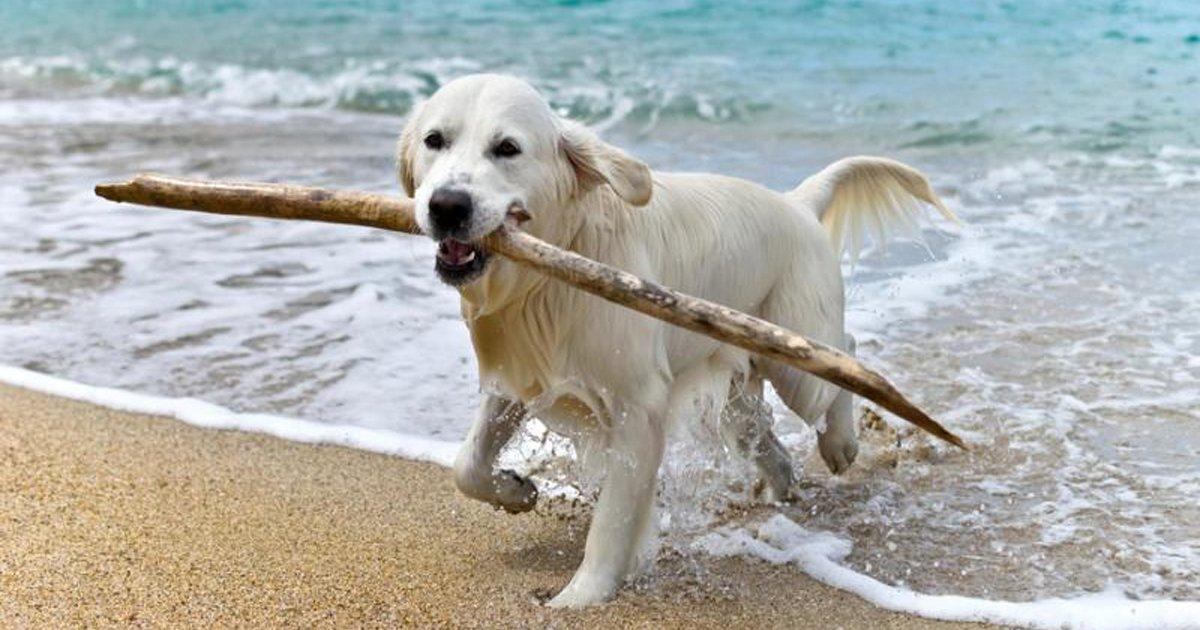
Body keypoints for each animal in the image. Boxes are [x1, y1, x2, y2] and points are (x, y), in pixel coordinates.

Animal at [398, 75, 950, 609]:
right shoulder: (524, 374)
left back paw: (840, 443)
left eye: (507, 148)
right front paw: (515, 491)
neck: (553, 271)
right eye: (434, 140)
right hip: (738, 381)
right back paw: (780, 482)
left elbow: (613, 520)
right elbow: (466, 463)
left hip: (795, 359)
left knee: (844, 356)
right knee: (763, 431)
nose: (446, 205)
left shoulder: (638, 406)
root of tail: (797, 203)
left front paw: (580, 597)